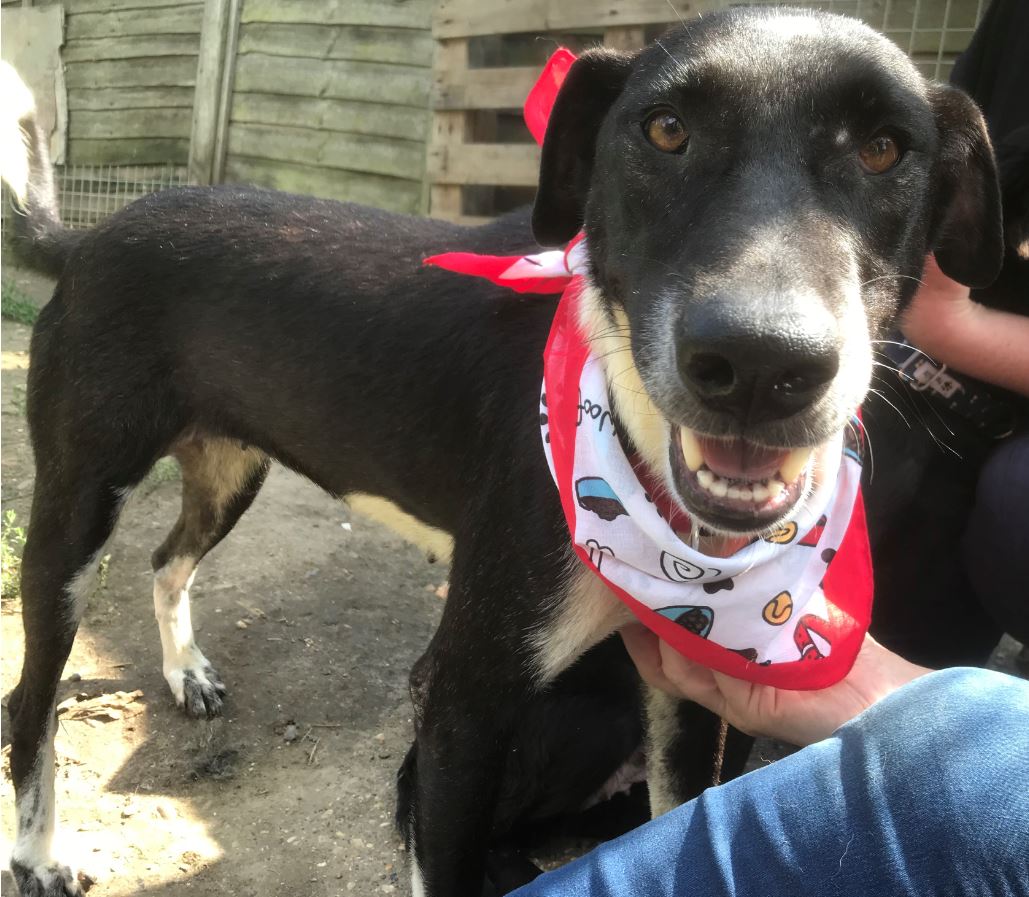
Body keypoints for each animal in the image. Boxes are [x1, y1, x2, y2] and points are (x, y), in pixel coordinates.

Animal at [4, 8, 1002, 896]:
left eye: (884, 150)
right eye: (665, 129)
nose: (759, 363)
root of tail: (88, 239)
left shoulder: (686, 699)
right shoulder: (460, 702)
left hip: (231, 465)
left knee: (168, 557)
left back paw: (186, 671)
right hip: (76, 505)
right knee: (32, 698)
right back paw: (40, 854)